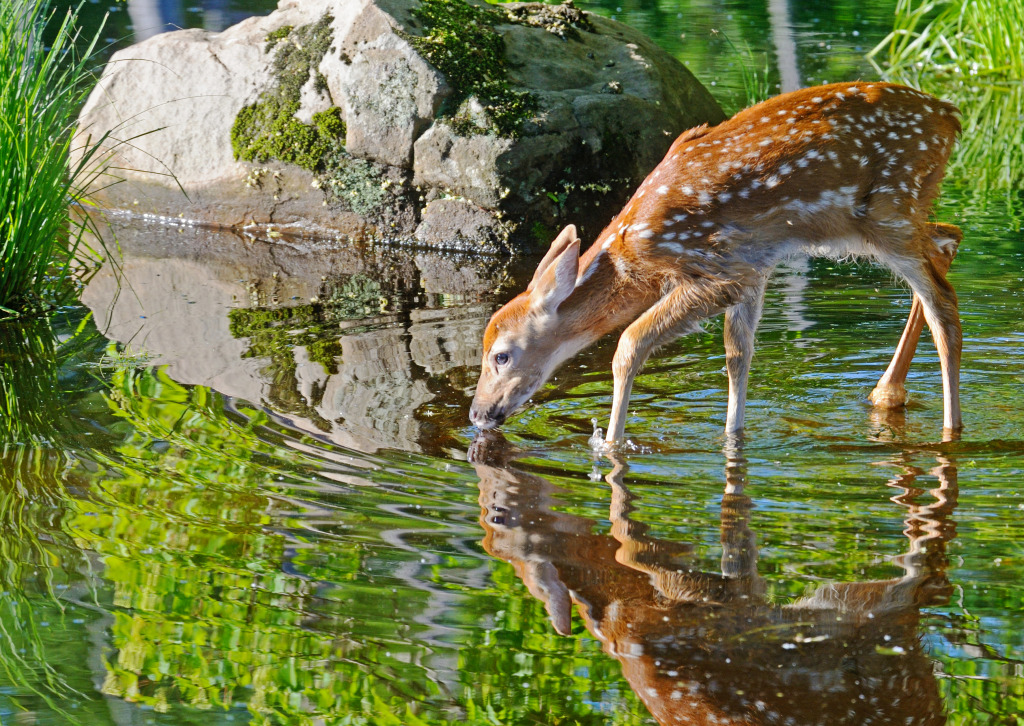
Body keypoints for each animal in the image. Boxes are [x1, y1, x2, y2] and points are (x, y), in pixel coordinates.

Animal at [468, 81, 962, 438]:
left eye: (501, 356)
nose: (477, 413)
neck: (633, 257)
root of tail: (950, 117)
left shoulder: (717, 270)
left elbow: (629, 344)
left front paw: (609, 444)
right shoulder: (752, 267)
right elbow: (737, 354)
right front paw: (732, 434)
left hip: (888, 211)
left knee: (944, 302)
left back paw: (949, 426)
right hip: (882, 221)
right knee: (947, 239)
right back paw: (885, 395)